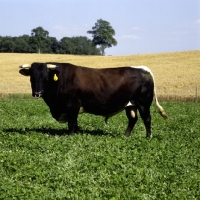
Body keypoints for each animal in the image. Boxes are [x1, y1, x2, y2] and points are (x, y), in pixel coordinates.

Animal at [19, 62, 167, 138]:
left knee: (147, 119)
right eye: (32, 77)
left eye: (46, 77)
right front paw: (78, 133)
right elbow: (75, 123)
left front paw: (70, 136)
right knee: (133, 119)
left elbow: (71, 123)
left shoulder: (72, 105)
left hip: (143, 104)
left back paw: (148, 137)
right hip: (130, 105)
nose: (37, 93)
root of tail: (143, 68)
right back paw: (126, 135)